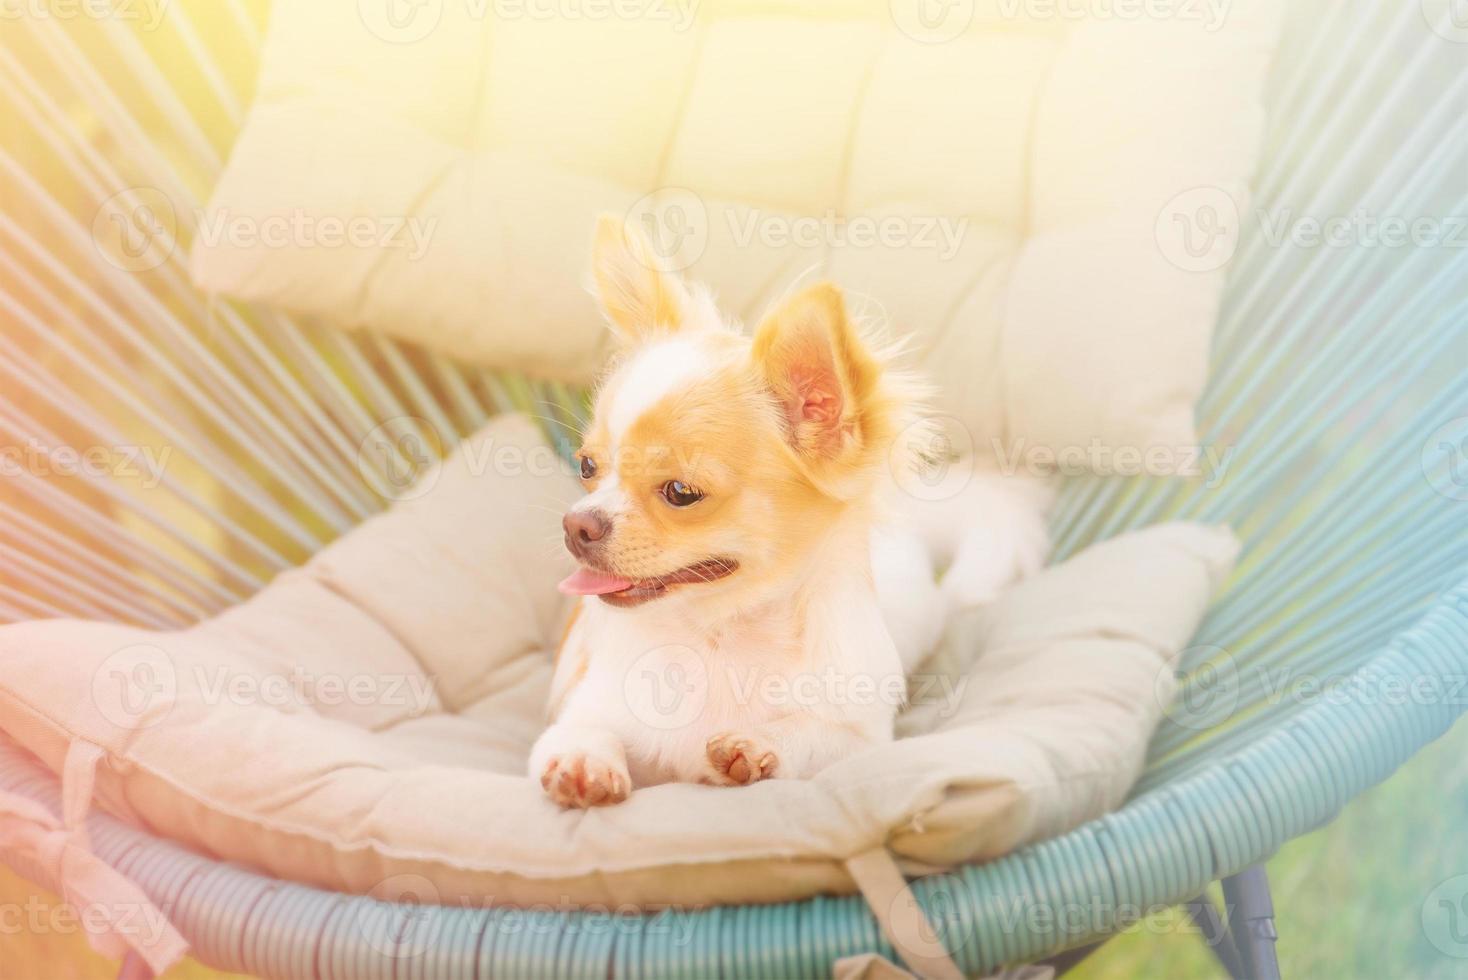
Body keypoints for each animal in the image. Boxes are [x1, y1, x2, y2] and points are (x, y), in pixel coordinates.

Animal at [525, 218, 1045, 809]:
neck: (722, 635)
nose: (577, 524)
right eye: (588, 466)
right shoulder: (582, 707)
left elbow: (818, 738)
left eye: (681, 492)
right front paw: (584, 761)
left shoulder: (859, 736)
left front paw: (758, 746)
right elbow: (578, 731)